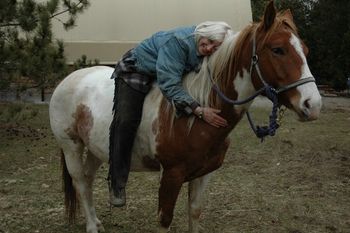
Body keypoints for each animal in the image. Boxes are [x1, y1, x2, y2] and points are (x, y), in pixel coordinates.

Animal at [49, 2, 322, 233]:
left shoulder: (204, 174)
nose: (313, 105)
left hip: (97, 149)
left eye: (306, 50)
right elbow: (165, 219)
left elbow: (195, 211)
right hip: (72, 146)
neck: (196, 117)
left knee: (88, 179)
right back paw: (92, 226)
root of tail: (67, 79)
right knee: (80, 182)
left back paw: (96, 221)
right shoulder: (171, 175)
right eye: (278, 49)